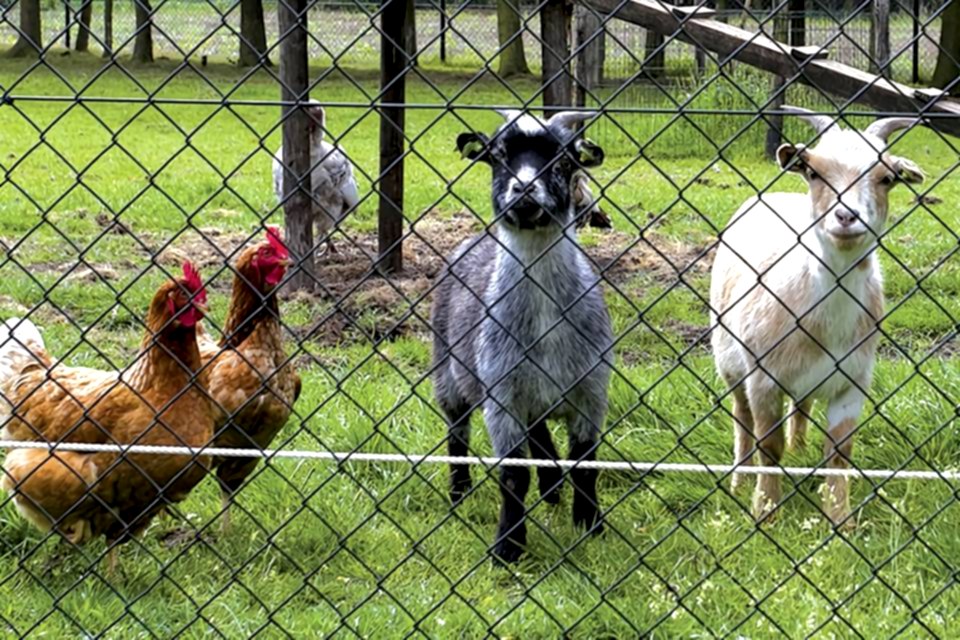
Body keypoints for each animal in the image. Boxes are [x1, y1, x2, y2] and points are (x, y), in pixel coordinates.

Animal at [432, 110, 612, 564]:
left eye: (565, 161)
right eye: (497, 156)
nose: (525, 189)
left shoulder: (591, 390)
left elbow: (586, 463)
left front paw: (590, 523)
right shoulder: (501, 397)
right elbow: (514, 475)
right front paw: (508, 547)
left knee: (541, 436)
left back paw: (553, 492)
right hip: (447, 372)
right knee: (457, 431)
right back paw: (459, 492)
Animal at [712, 105, 924, 524]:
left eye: (888, 178)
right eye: (813, 171)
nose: (846, 216)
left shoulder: (853, 379)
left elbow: (839, 454)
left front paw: (841, 520)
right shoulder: (763, 377)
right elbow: (768, 446)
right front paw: (765, 513)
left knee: (802, 405)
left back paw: (798, 449)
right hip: (728, 359)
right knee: (740, 417)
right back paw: (739, 481)